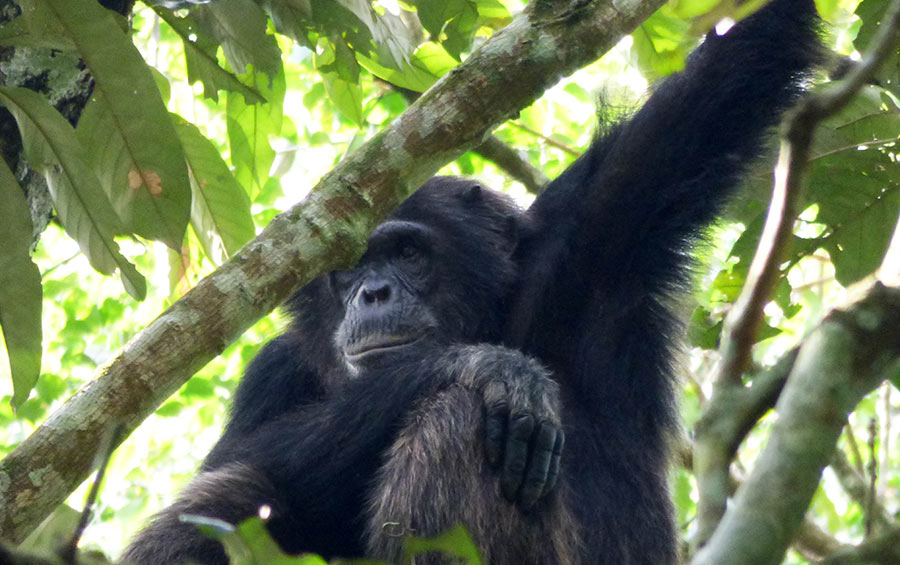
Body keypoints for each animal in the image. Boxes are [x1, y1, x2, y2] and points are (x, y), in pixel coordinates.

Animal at [125, 1, 824, 560]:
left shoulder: (605, 228)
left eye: (408, 253)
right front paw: (488, 364)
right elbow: (230, 462)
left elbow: (734, 72)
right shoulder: (272, 370)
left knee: (460, 422)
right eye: (347, 269)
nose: (372, 292)